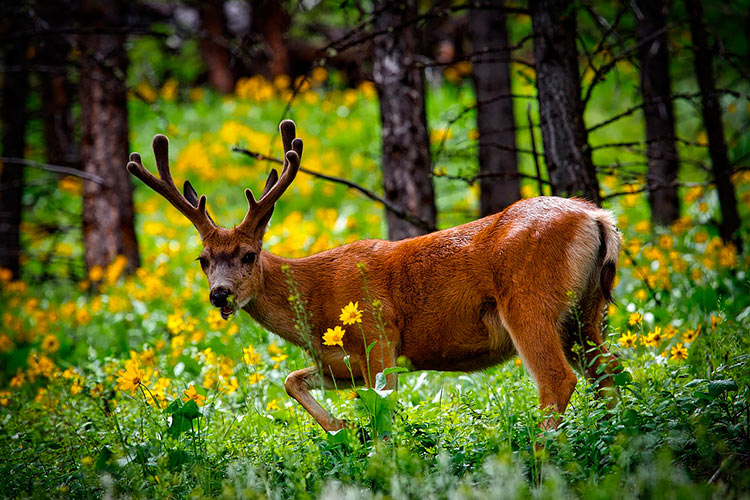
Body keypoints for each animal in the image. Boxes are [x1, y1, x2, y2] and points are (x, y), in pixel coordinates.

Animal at [126, 119, 624, 432]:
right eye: (203, 259)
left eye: (248, 255)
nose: (221, 295)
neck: (314, 300)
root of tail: (597, 218)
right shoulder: (341, 362)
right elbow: (291, 380)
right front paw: (341, 427)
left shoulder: (379, 338)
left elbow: (384, 415)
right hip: (585, 311)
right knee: (610, 371)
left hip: (528, 301)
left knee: (558, 380)